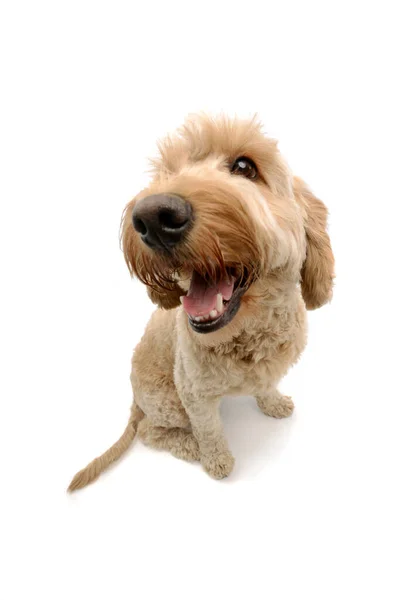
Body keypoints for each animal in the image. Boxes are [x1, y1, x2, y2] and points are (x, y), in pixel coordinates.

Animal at [68, 115, 334, 490]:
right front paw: (217, 460)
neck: (247, 338)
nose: (152, 217)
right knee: (150, 431)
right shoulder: (193, 394)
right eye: (167, 171)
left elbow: (266, 385)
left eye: (244, 167)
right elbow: (210, 431)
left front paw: (273, 402)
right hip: (167, 402)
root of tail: (134, 400)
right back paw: (189, 445)